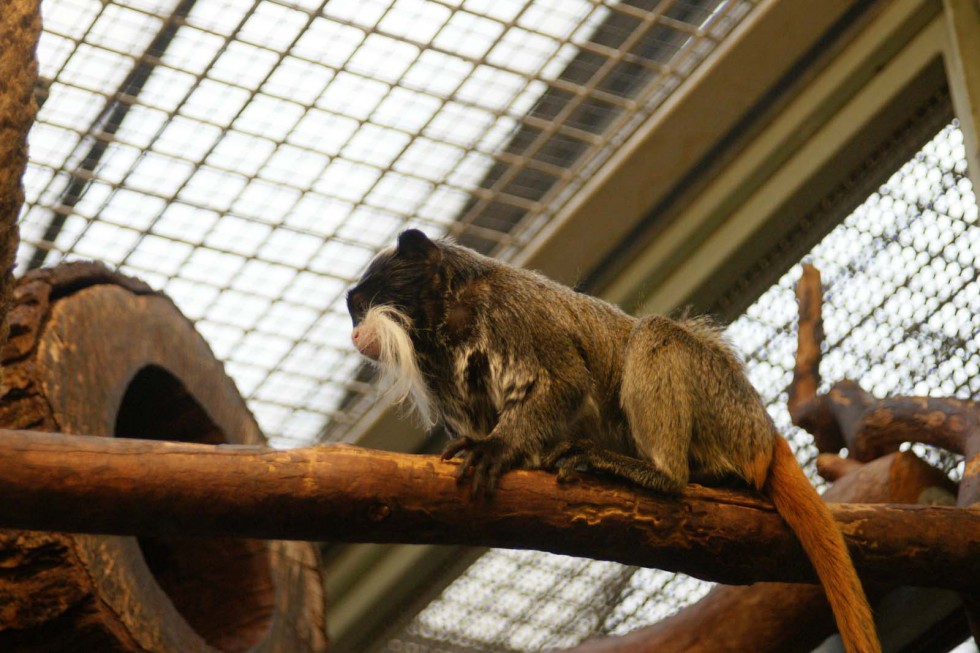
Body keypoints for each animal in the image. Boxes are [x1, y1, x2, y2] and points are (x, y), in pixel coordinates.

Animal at [346, 230, 880, 652]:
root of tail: (764, 430)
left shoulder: (514, 311)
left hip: (724, 408)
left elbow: (564, 381)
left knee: (657, 334)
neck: (451, 321)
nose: (354, 333)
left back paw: (658, 472)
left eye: (363, 305)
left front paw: (497, 449)